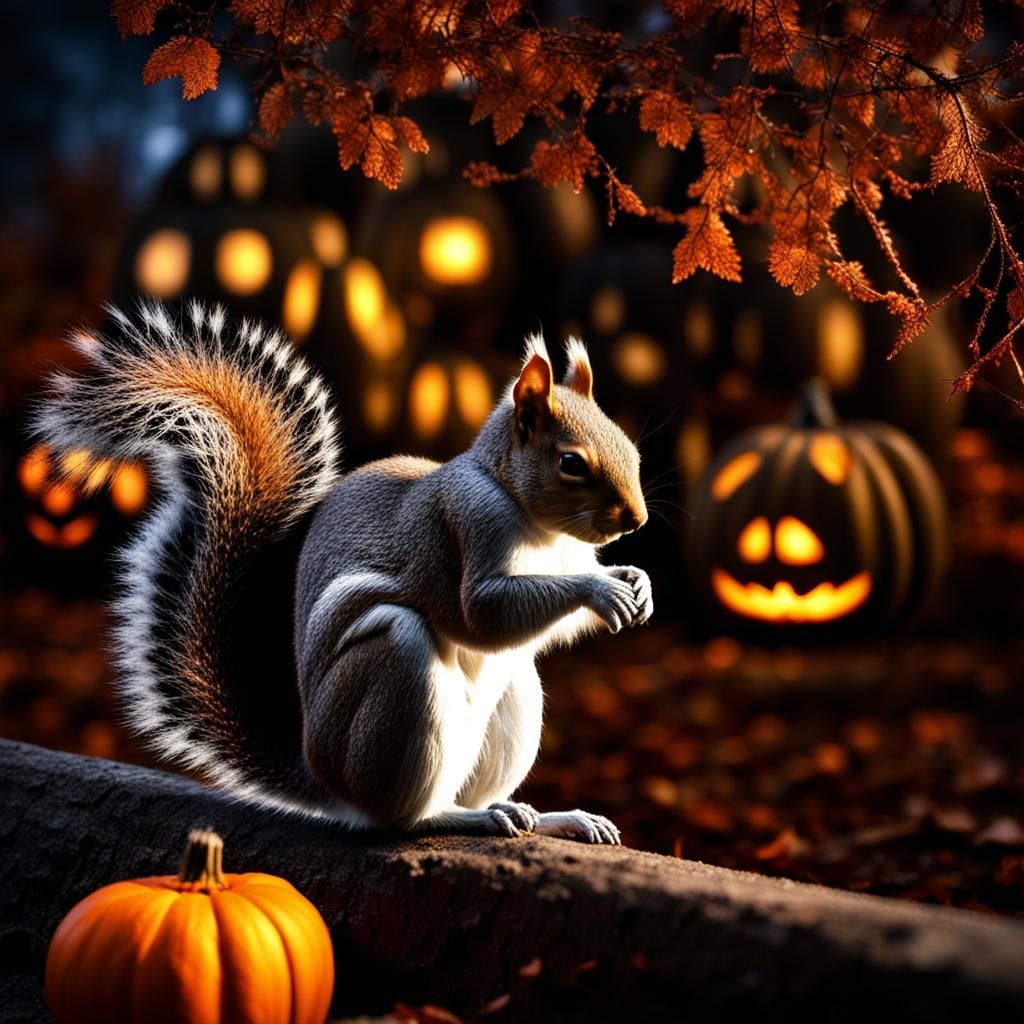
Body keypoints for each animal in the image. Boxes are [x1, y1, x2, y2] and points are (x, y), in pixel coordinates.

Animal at [37, 301, 652, 843]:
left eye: (631, 446)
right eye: (571, 463)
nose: (638, 519)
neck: (542, 530)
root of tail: (327, 784)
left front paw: (636, 582)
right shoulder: (469, 524)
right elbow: (481, 614)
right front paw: (600, 590)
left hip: (515, 693)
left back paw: (547, 817)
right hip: (394, 679)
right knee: (397, 817)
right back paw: (457, 819)